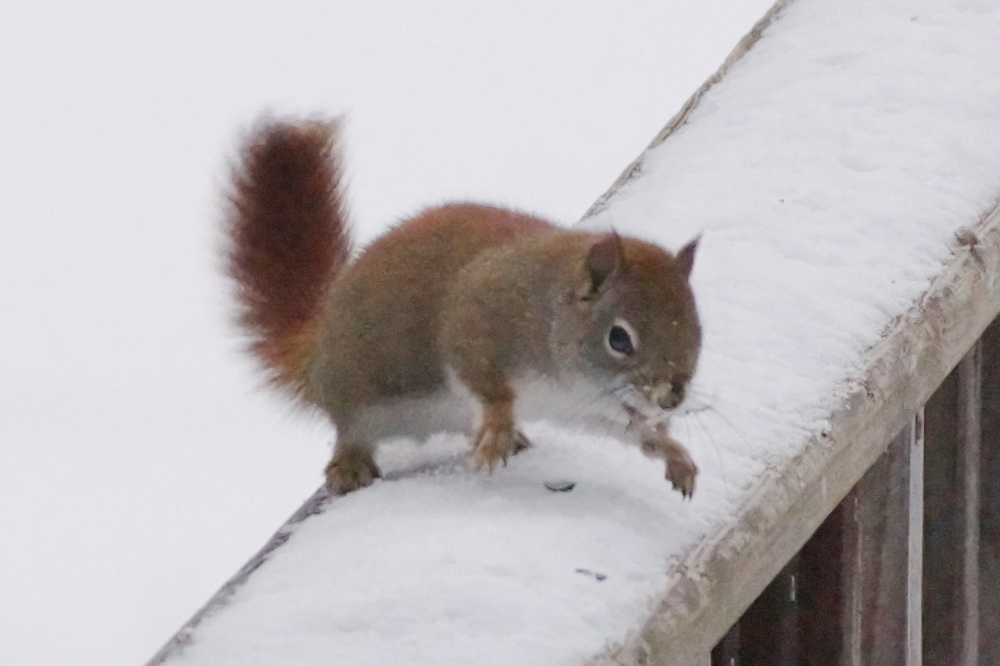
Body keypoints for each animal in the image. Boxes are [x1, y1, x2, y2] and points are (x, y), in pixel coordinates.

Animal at [224, 116, 702, 497]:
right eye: (619, 339)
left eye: (698, 332)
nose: (672, 397)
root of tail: (320, 336)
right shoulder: (476, 319)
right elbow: (482, 379)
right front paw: (498, 426)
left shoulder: (582, 406)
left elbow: (628, 430)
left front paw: (672, 452)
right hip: (354, 392)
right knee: (349, 431)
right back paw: (350, 465)